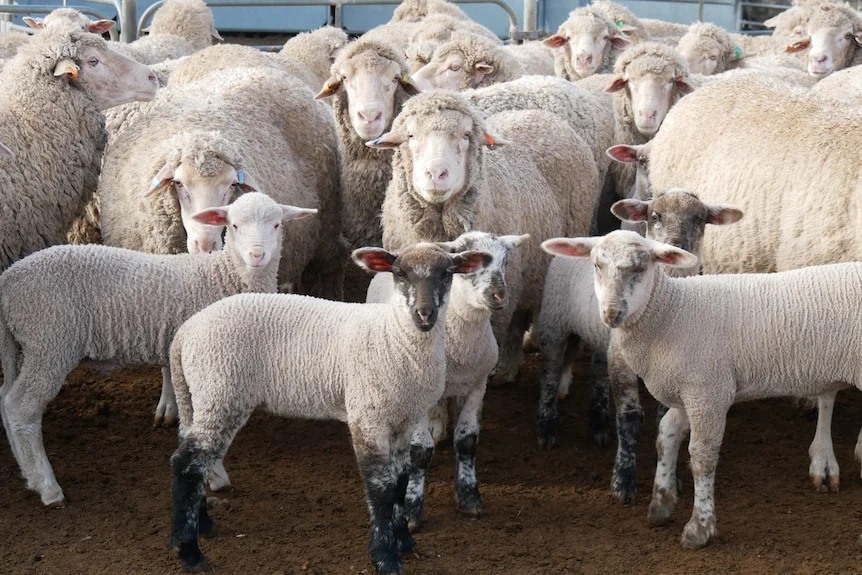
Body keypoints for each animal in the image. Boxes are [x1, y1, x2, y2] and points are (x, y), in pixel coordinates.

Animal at [0, 192, 316, 508]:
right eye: (234, 225)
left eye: (277, 224)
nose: (257, 255)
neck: (224, 274)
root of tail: (9, 281)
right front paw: (215, 475)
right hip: (49, 340)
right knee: (21, 408)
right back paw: (48, 486)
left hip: (23, 345)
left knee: (6, 397)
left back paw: (28, 474)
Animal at [167, 243, 492, 575]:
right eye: (399, 273)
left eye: (448, 274)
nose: (424, 314)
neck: (394, 338)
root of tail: (184, 334)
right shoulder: (367, 417)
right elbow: (381, 488)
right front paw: (385, 556)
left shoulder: (405, 419)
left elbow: (401, 480)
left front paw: (404, 540)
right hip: (221, 393)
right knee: (185, 464)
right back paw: (189, 551)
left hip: (201, 398)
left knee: (195, 463)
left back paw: (202, 525)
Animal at [367, 231, 528, 531]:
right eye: (471, 267)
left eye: (506, 262)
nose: (499, 295)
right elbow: (420, 451)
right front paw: (412, 510)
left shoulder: (477, 386)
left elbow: (466, 441)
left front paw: (468, 498)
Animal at [537, 190, 743, 505]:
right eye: (654, 216)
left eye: (699, 218)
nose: (675, 244)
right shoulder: (622, 362)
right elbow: (630, 418)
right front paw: (623, 482)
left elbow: (666, 421)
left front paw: (673, 479)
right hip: (554, 322)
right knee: (549, 373)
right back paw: (547, 428)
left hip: (600, 339)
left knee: (597, 371)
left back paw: (599, 424)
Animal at [542, 229, 862, 549]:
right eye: (596, 265)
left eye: (640, 267)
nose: (611, 314)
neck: (670, 314)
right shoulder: (687, 392)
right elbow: (665, 436)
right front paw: (661, 503)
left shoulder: (708, 392)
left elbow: (701, 457)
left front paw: (700, 527)